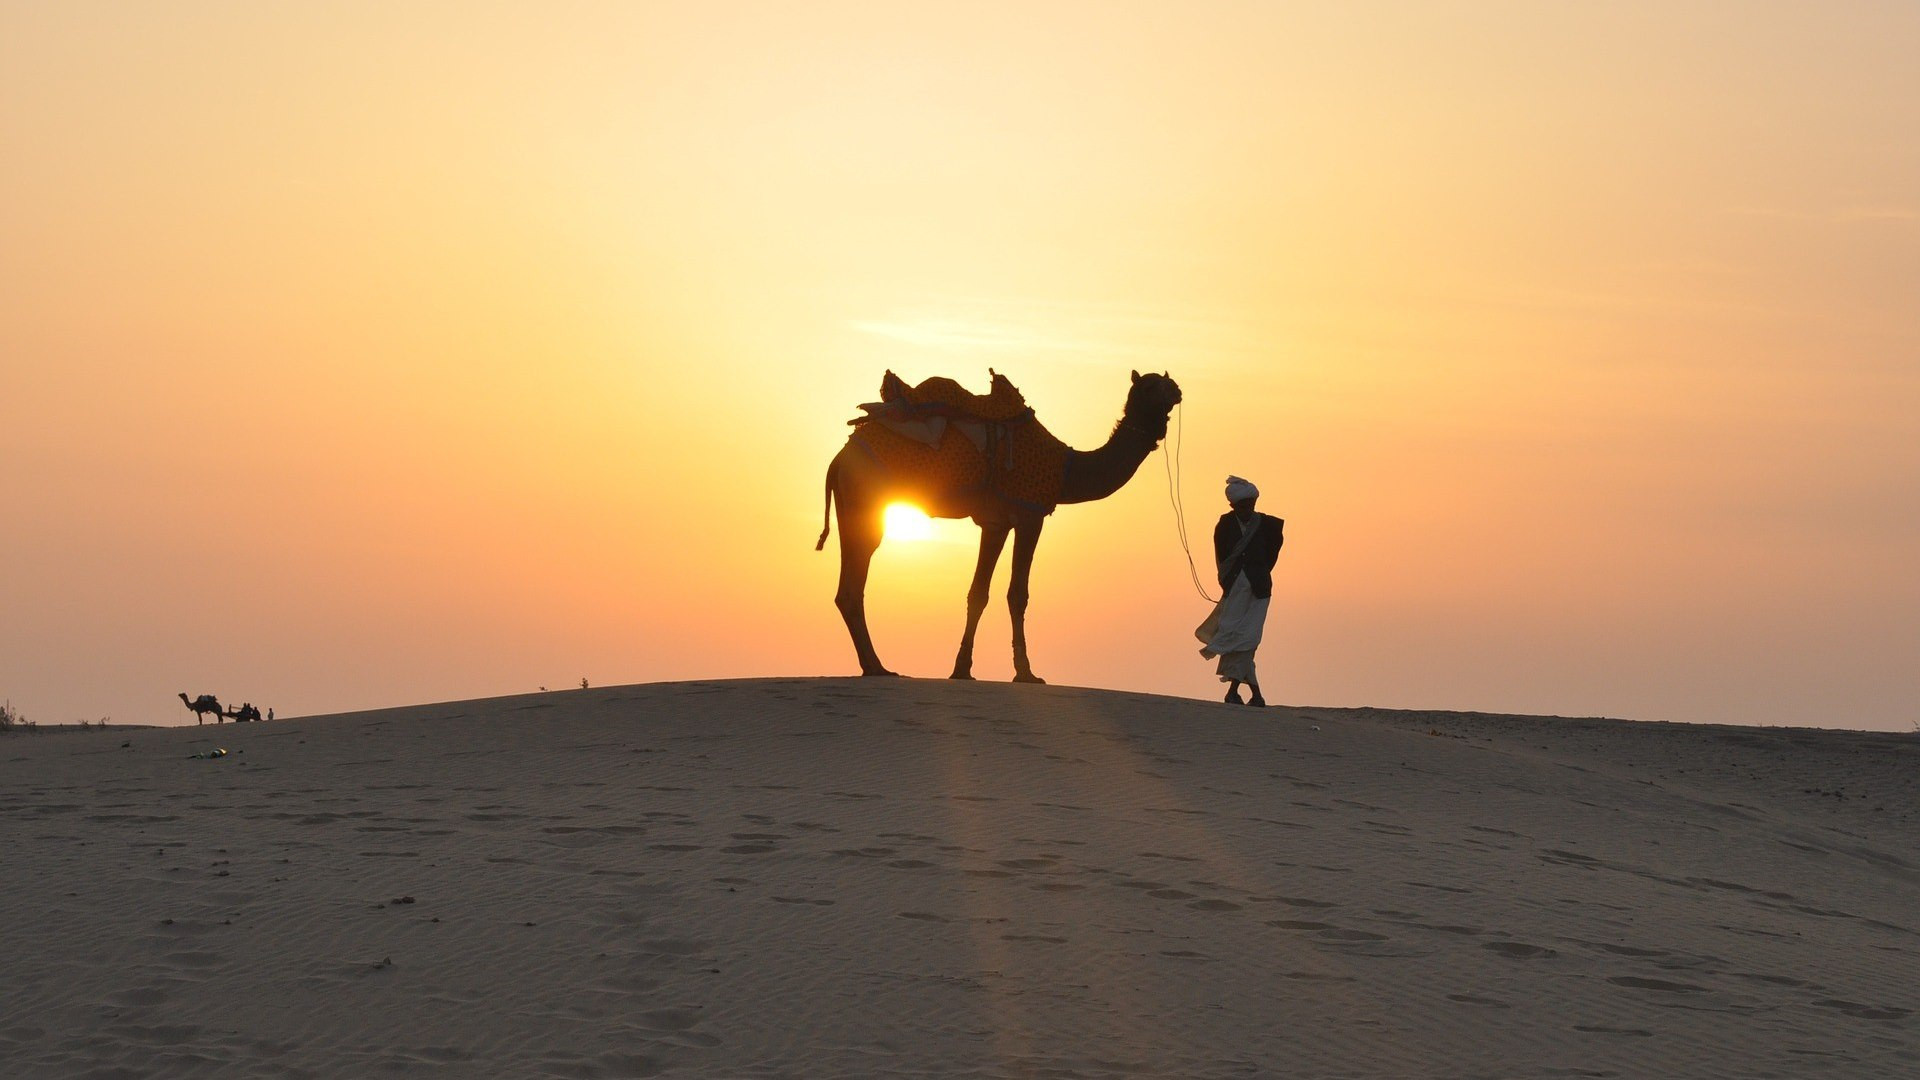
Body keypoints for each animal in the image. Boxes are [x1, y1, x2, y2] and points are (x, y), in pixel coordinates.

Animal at [817, 365, 1175, 676]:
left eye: (1166, 381)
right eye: (1150, 386)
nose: (1177, 390)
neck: (1066, 470)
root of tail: (837, 460)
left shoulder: (996, 523)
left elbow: (978, 593)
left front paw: (962, 670)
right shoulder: (1030, 514)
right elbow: (1018, 594)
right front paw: (1026, 673)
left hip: (850, 506)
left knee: (847, 589)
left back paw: (873, 666)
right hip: (866, 503)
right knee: (854, 584)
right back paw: (877, 667)